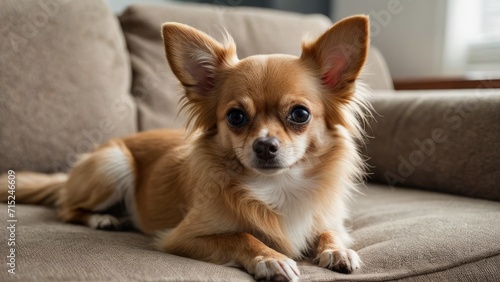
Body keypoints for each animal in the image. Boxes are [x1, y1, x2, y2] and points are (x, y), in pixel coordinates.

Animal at [2, 15, 372, 280]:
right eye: (235, 117)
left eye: (300, 114)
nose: (265, 145)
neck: (277, 186)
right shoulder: (183, 237)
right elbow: (241, 236)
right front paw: (270, 258)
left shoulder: (327, 220)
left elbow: (330, 232)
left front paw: (337, 250)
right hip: (113, 164)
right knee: (66, 209)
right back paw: (103, 219)